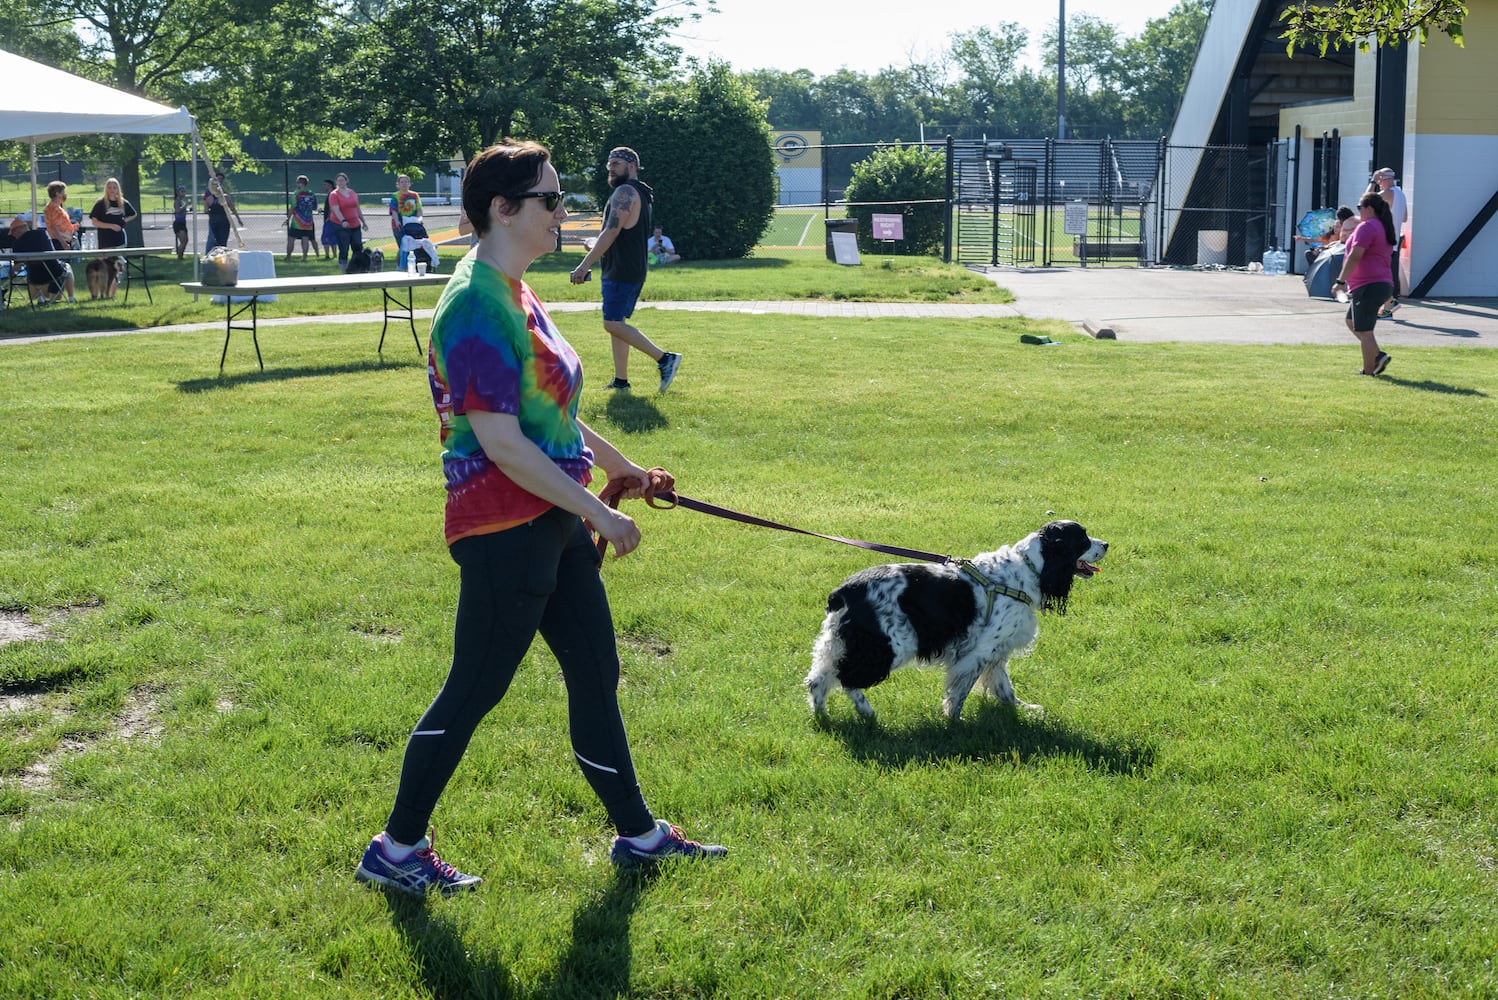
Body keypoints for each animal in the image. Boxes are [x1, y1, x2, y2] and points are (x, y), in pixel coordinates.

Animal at [802, 520, 1108, 721]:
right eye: (1082, 538)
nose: (1106, 544)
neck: (1028, 567)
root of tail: (843, 591)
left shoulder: (997, 651)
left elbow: (1005, 689)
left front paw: (1026, 710)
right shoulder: (980, 652)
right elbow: (960, 692)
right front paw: (954, 721)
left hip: (840, 641)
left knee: (818, 679)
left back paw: (822, 716)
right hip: (890, 645)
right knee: (847, 678)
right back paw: (866, 712)